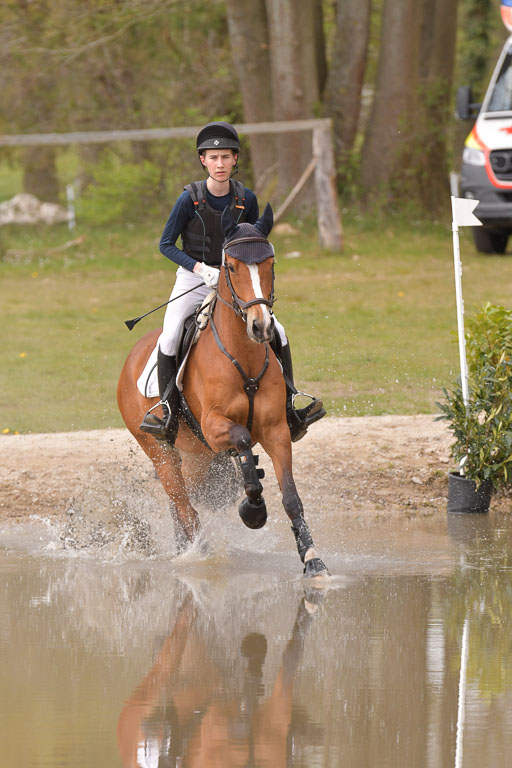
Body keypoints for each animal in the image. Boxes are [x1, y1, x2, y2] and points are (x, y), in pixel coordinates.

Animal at [117, 204, 328, 576]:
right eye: (230, 267)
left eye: (271, 264)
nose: (261, 327)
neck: (242, 355)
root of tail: (131, 358)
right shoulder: (215, 427)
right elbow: (242, 439)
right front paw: (253, 510)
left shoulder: (276, 430)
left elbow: (291, 496)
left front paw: (312, 559)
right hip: (162, 452)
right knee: (184, 507)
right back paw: (196, 554)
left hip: (197, 458)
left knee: (183, 504)